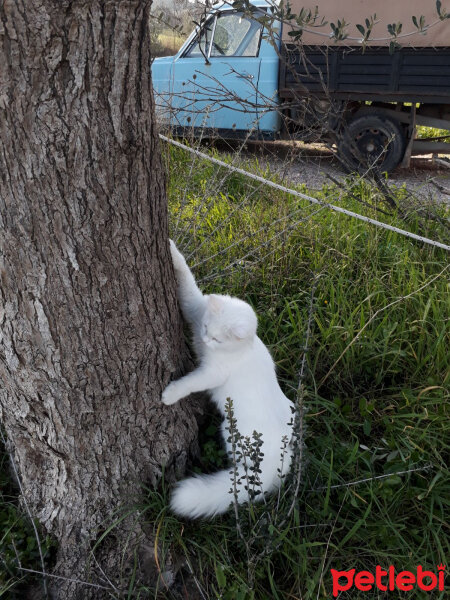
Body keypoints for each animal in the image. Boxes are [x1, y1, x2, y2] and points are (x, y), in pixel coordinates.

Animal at [163, 241, 296, 516]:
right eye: (205, 328)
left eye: (218, 339)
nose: (204, 341)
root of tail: (282, 457)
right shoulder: (194, 307)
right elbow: (185, 276)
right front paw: (171, 249)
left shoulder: (211, 373)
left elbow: (188, 383)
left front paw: (169, 395)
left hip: (230, 431)